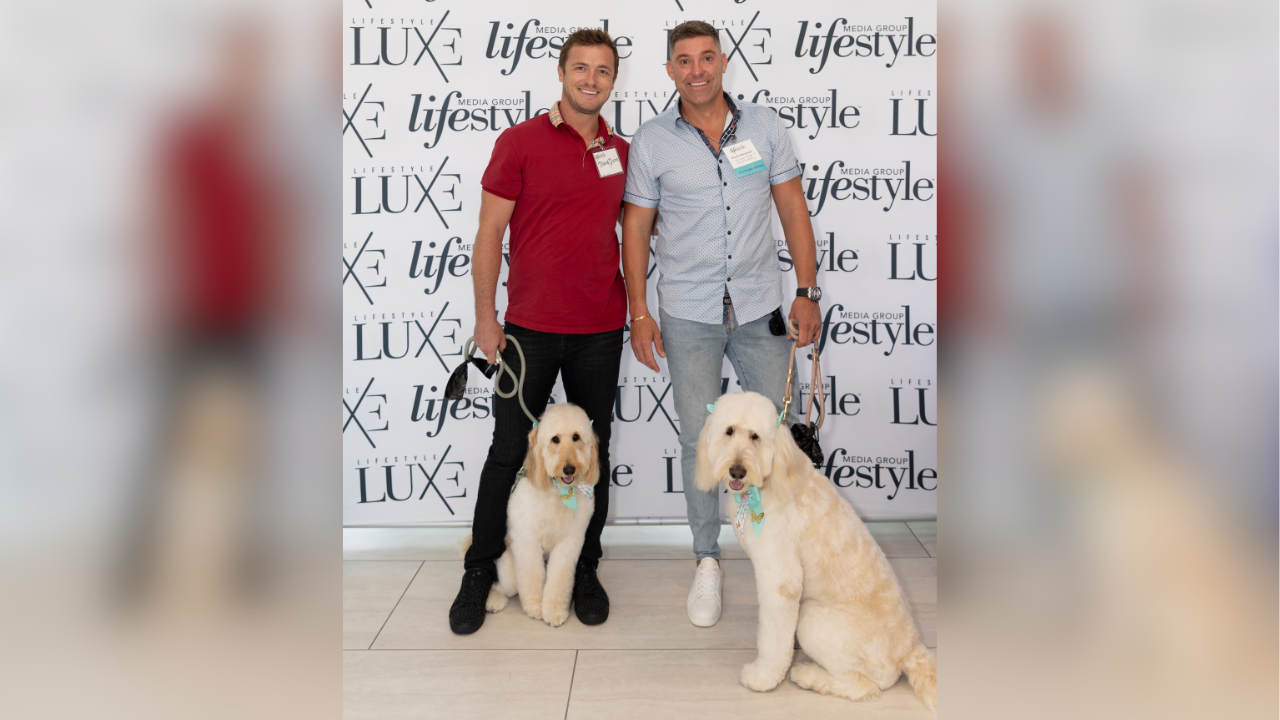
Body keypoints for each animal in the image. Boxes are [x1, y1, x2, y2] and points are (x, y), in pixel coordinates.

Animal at [482, 403, 600, 627]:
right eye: (555, 439)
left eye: (576, 437)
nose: (569, 468)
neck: (559, 492)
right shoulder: (526, 541)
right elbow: (531, 576)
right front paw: (535, 607)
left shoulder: (569, 544)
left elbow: (560, 579)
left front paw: (554, 611)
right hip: (509, 572)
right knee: (499, 586)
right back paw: (493, 601)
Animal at [695, 391, 937, 711]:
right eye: (729, 431)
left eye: (755, 436)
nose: (738, 470)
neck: (771, 479)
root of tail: (910, 650)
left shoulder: (781, 579)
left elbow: (773, 637)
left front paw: (763, 678)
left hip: (813, 619)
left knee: (863, 686)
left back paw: (808, 675)